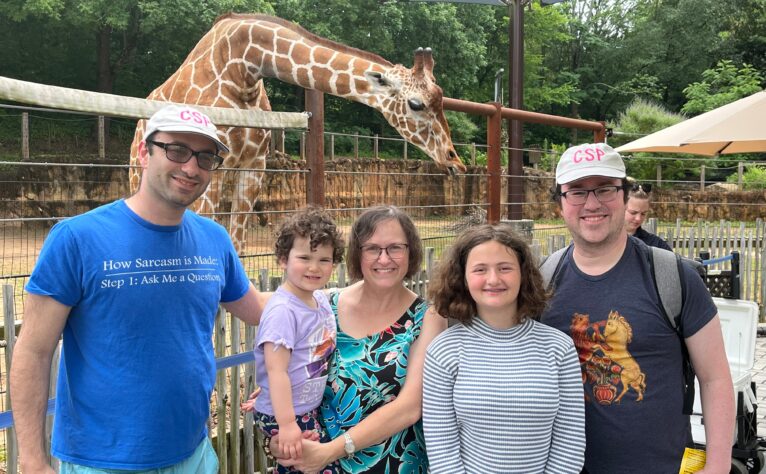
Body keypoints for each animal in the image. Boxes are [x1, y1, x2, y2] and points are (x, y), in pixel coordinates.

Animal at [129, 13, 466, 252]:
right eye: (416, 104)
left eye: (441, 99)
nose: (455, 162)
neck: (245, 66)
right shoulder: (212, 165)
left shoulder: (253, 166)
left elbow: (235, 248)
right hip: (141, 176)